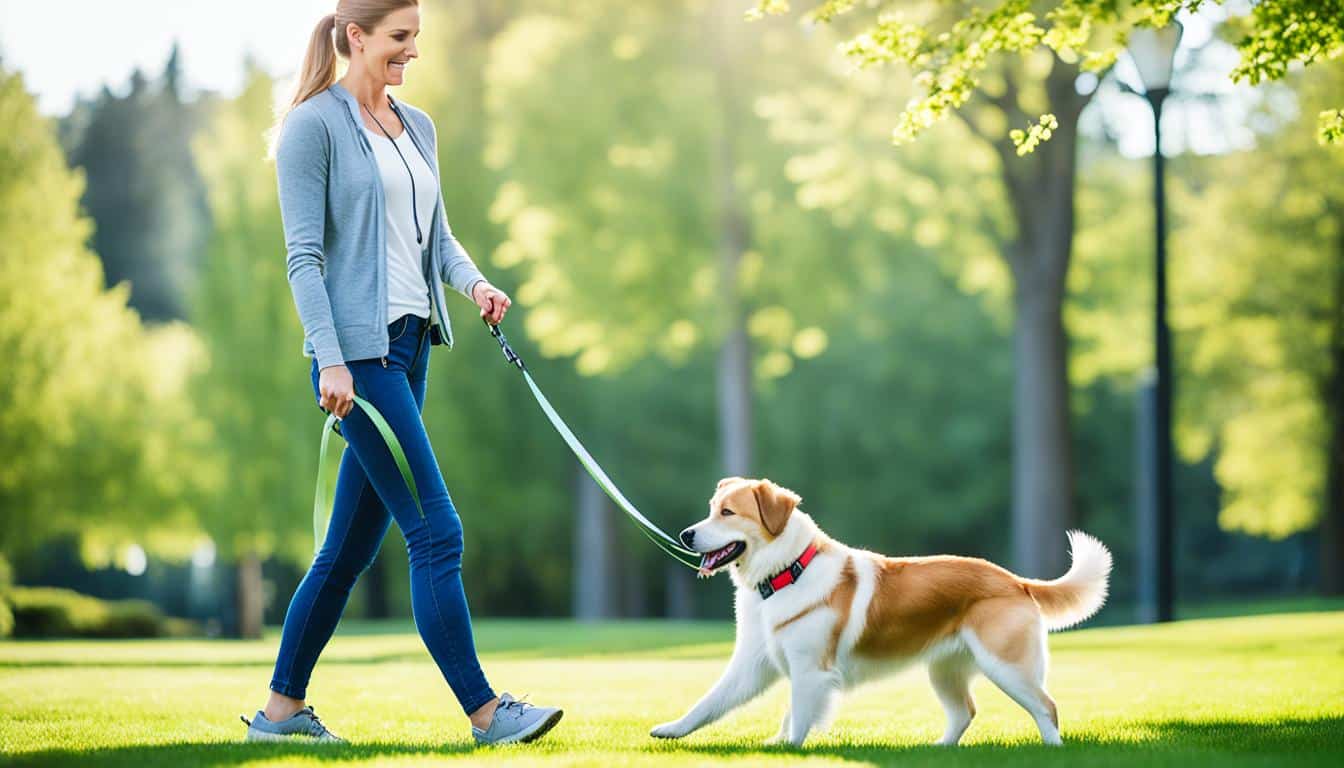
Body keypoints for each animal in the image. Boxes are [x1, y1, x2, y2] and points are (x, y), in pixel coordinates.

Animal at [650, 478, 1112, 747]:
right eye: (711, 509)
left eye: (727, 513)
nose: (685, 534)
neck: (786, 573)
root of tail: (1015, 580)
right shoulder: (754, 666)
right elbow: (709, 704)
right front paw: (671, 730)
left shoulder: (810, 671)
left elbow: (799, 720)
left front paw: (790, 750)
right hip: (944, 672)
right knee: (965, 713)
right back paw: (937, 752)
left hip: (1008, 667)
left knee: (1047, 707)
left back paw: (1053, 751)